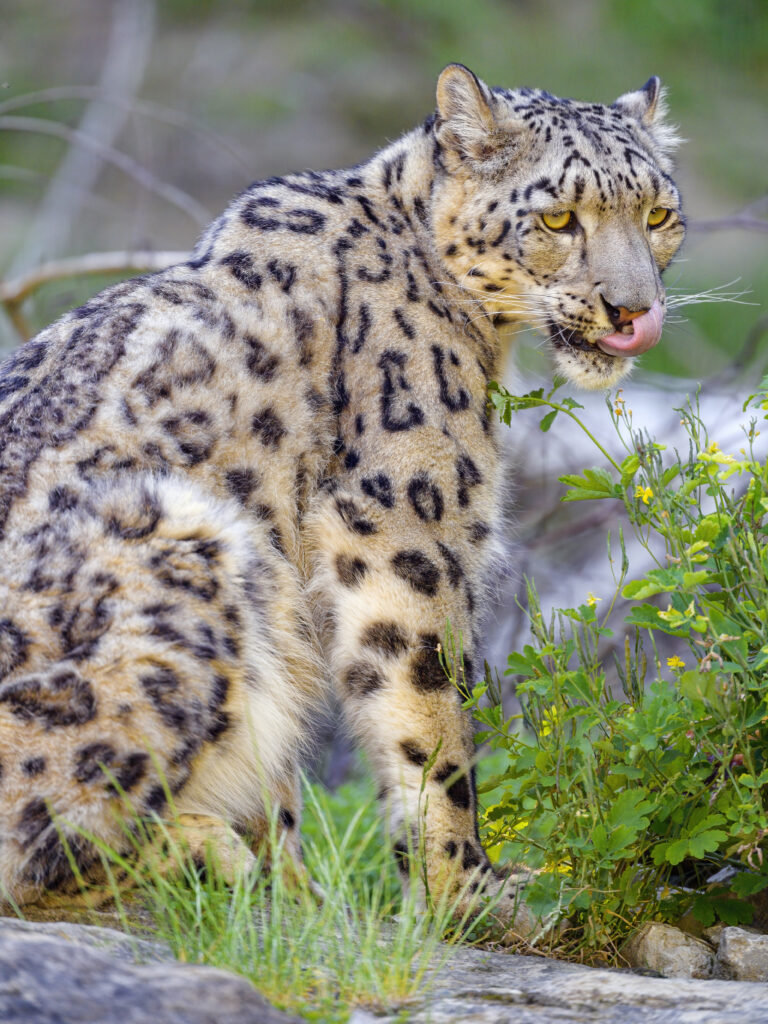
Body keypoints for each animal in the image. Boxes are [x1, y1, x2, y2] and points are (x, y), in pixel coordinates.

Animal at [0, 63, 684, 935]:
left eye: (658, 213)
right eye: (559, 217)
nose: (634, 312)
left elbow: (287, 788)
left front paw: (303, 899)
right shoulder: (406, 527)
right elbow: (428, 721)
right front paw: (469, 891)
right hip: (190, 551)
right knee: (38, 839)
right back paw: (205, 855)